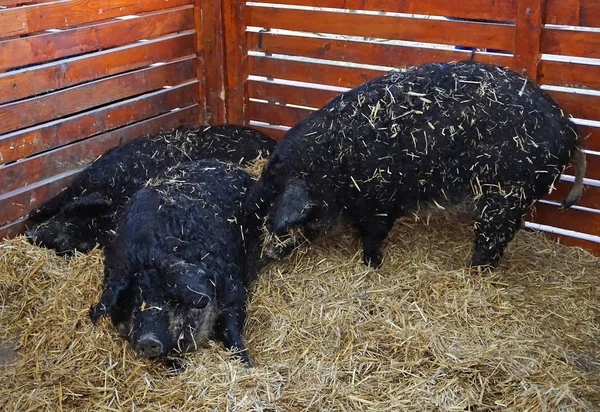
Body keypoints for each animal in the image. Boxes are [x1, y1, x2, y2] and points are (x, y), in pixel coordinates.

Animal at [88, 159, 260, 366]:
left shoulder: (233, 288)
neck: (146, 255)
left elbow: (230, 327)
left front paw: (246, 365)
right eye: (131, 300)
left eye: (169, 298)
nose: (148, 340)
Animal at [244, 59, 584, 268]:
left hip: (510, 190)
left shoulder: (382, 199)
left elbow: (374, 235)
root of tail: (569, 129)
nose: (266, 253)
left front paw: (371, 264)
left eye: (273, 201)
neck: (330, 168)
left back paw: (471, 269)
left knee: (495, 235)